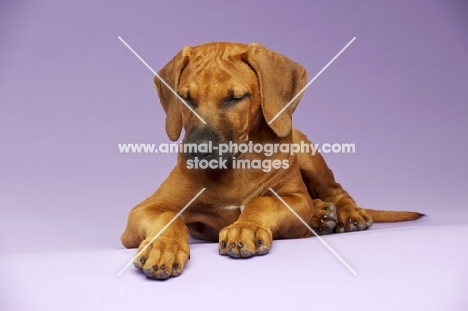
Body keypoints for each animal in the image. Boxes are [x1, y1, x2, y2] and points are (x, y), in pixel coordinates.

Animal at [120, 42, 424, 280]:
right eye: (186, 98)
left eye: (235, 98)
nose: (197, 152)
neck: (236, 165)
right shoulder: (144, 209)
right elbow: (168, 216)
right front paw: (162, 247)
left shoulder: (295, 197)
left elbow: (262, 201)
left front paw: (245, 227)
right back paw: (320, 215)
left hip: (305, 151)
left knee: (337, 191)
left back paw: (347, 214)